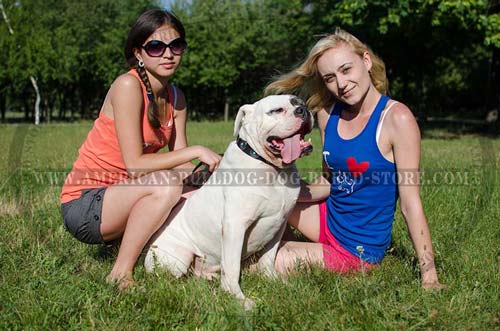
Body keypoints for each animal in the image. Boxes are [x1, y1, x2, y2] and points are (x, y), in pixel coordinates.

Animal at [145, 94, 312, 310]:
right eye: (276, 111)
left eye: (301, 103)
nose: (303, 110)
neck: (272, 168)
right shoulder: (235, 226)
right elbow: (232, 267)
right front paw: (238, 299)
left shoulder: (279, 225)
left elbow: (268, 259)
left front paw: (275, 281)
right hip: (178, 258)